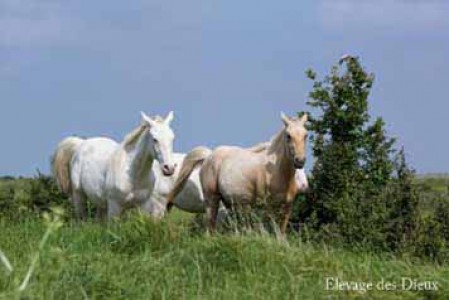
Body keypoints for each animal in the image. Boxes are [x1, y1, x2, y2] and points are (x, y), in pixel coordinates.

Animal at [165, 112, 308, 232]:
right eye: (288, 135)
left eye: (306, 135)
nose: (300, 161)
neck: (276, 173)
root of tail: (208, 156)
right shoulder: (268, 207)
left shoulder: (287, 207)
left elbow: (281, 234)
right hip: (212, 199)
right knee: (210, 228)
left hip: (229, 202)